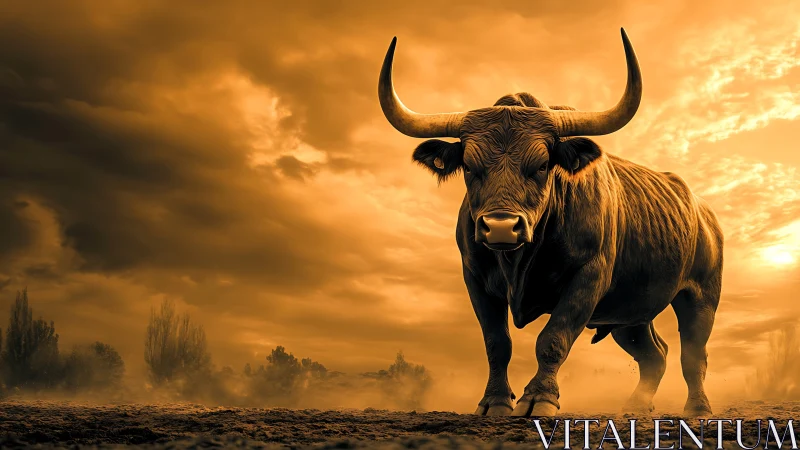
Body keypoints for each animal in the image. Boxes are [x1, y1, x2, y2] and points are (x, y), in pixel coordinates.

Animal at [377, 28, 723, 417]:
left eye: (543, 165)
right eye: (468, 165)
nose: (500, 227)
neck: (518, 261)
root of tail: (704, 213)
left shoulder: (588, 278)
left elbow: (553, 338)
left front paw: (538, 398)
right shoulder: (475, 278)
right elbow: (497, 343)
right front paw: (495, 402)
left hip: (701, 296)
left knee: (693, 354)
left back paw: (698, 408)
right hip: (629, 312)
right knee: (655, 355)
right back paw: (634, 407)